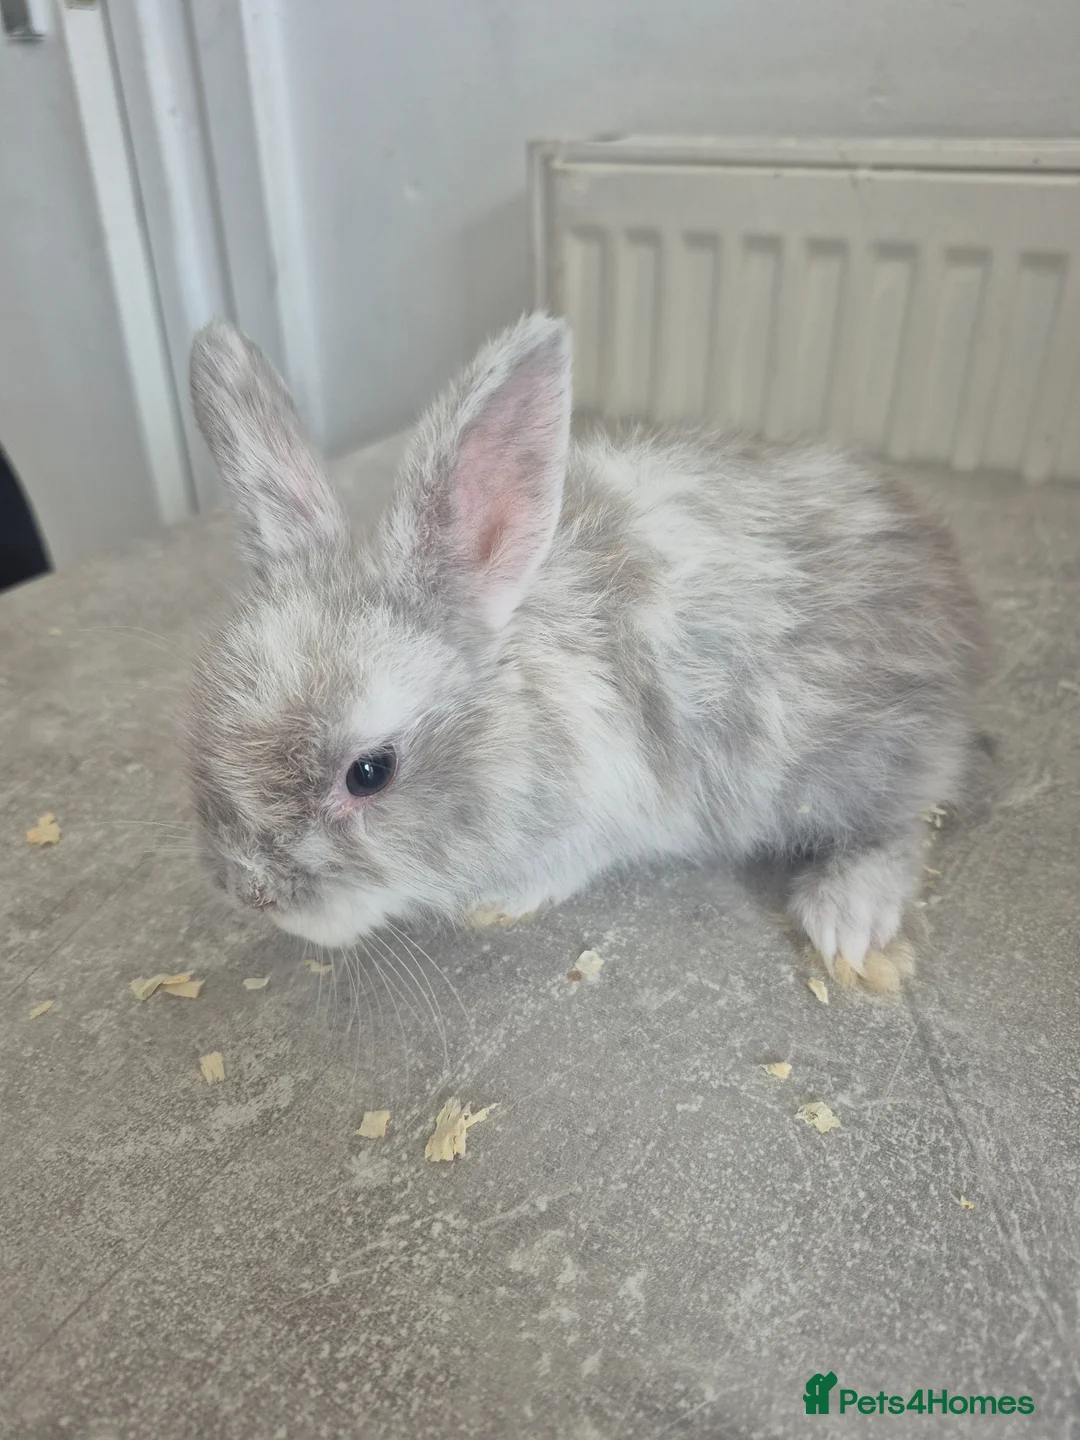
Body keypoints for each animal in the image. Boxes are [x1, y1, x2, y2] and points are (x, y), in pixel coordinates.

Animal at [187, 312, 987, 989]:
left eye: (370, 773)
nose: (250, 891)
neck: (520, 711)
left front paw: (507, 898)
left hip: (861, 759)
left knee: (904, 823)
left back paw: (847, 920)